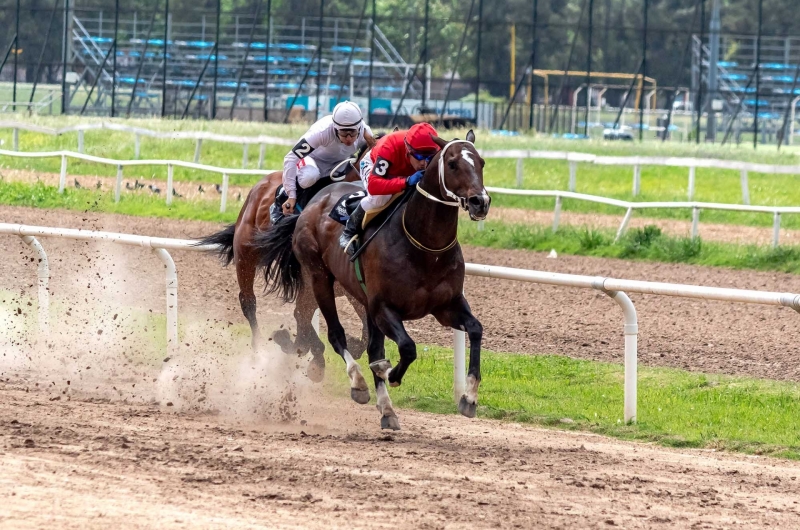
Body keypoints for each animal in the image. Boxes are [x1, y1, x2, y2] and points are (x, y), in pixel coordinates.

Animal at [260, 130, 490, 426]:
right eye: (452, 164)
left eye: (481, 162)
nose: (480, 202)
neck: (425, 247)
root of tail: (314, 200)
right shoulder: (383, 307)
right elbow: (407, 347)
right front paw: (390, 374)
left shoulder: (446, 306)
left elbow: (475, 329)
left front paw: (469, 397)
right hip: (319, 277)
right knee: (336, 335)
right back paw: (358, 382)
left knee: (370, 347)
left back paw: (387, 410)